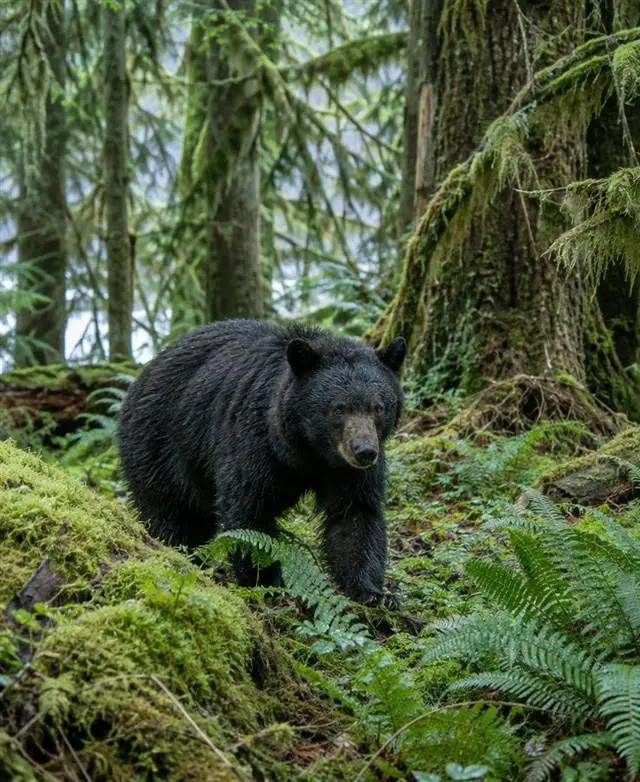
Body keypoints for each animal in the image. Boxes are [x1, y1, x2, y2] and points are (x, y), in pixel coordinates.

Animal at [117, 319, 406, 605]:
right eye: (339, 408)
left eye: (378, 407)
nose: (364, 451)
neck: (308, 451)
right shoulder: (254, 441)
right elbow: (249, 510)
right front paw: (265, 583)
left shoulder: (347, 471)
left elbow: (355, 515)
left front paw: (372, 592)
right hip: (160, 446)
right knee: (170, 513)